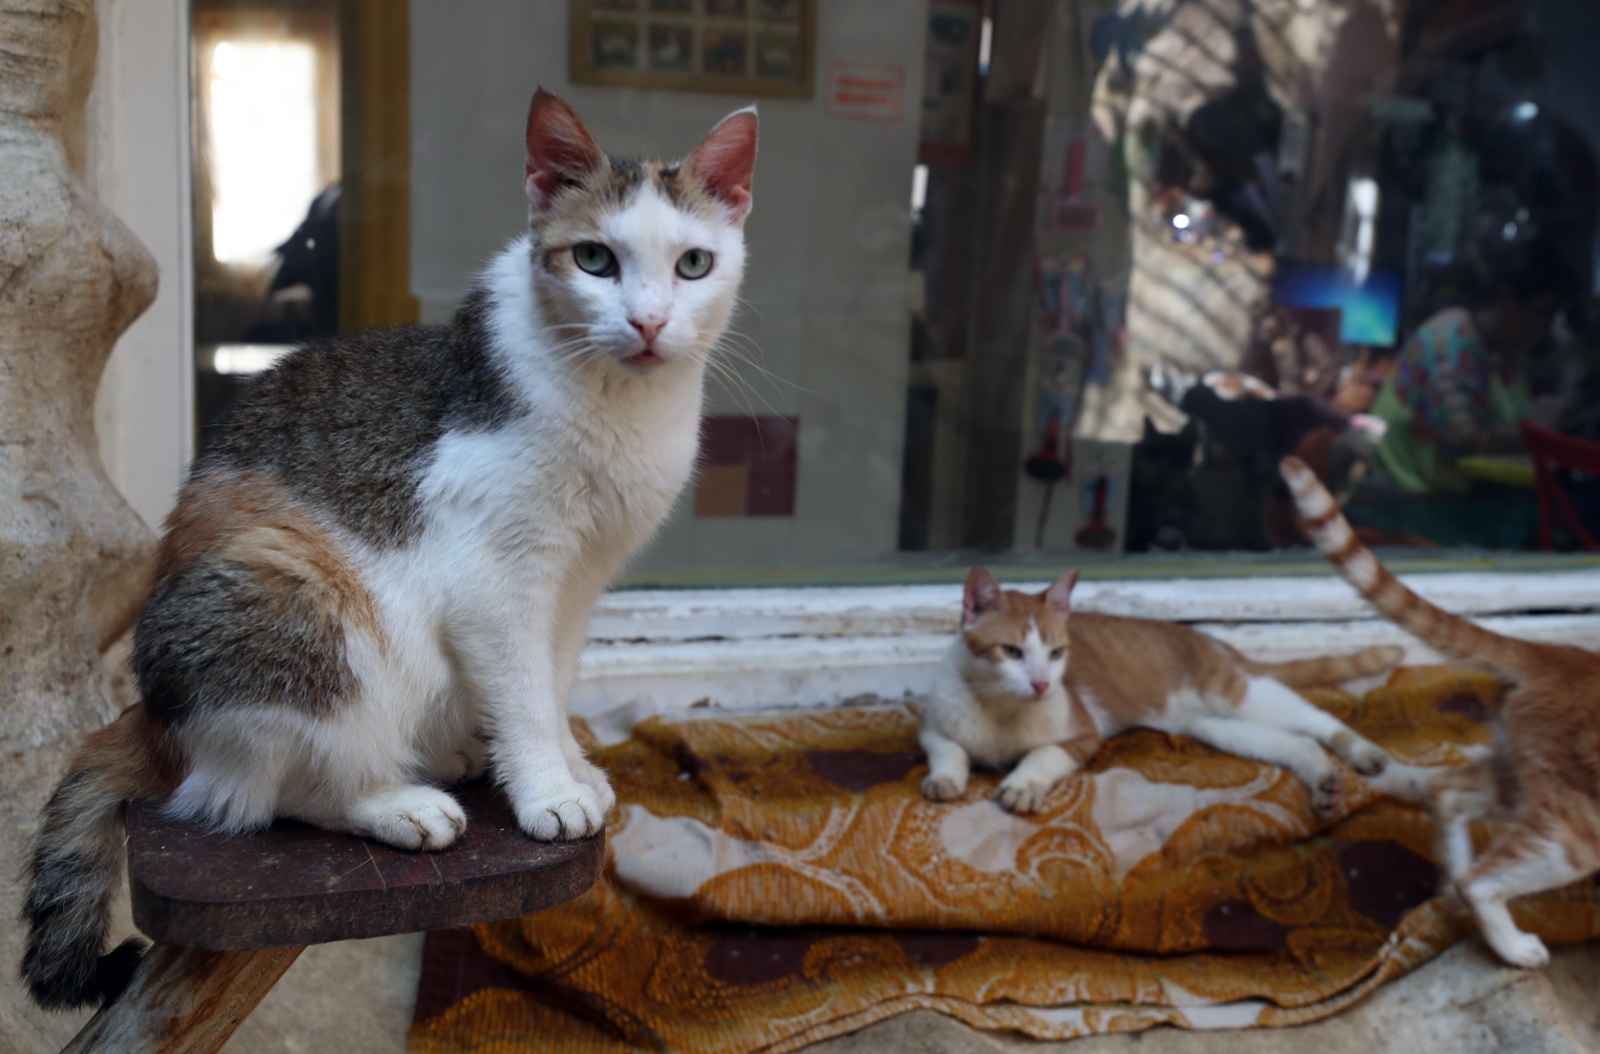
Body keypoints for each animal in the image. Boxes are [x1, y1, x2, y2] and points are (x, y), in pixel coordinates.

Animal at [915, 569, 1401, 815]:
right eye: (1012, 651)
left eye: (1056, 653)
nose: (1041, 683)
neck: (1000, 709)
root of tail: (1214, 641)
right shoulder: (932, 727)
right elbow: (949, 749)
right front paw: (946, 778)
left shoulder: (1083, 735)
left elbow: (1042, 754)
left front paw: (1022, 784)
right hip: (1218, 726)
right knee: (1295, 743)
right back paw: (1323, 780)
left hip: (1235, 691)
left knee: (1316, 720)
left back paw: (1362, 752)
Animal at [1280, 457, 1600, 966]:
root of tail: (1562, 655)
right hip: (1578, 827)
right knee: (1482, 881)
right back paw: (1510, 943)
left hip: (1531, 777)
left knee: (1446, 791)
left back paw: (1450, 889)